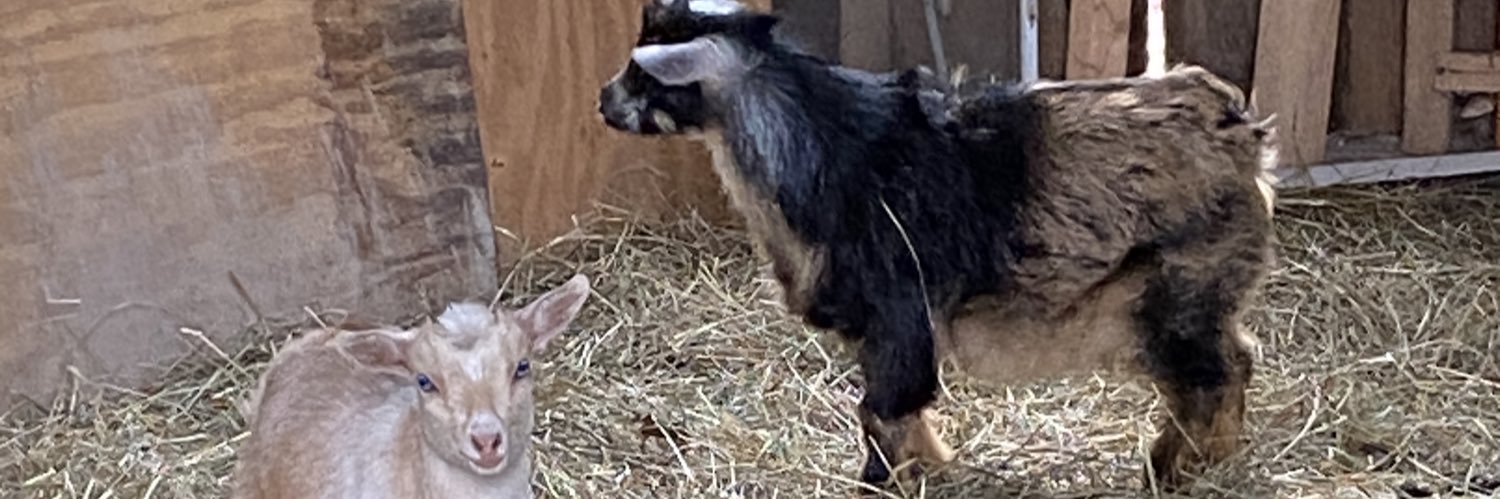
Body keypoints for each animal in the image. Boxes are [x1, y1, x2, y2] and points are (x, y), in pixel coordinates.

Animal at [598, 0, 1279, 491]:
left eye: (643, 74)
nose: (604, 101)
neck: (823, 149)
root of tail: (1241, 136)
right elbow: (889, 409)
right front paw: (929, 468)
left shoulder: (898, 312)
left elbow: (885, 406)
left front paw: (887, 480)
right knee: (1235, 360)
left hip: (1174, 293)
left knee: (1211, 378)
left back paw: (1174, 469)